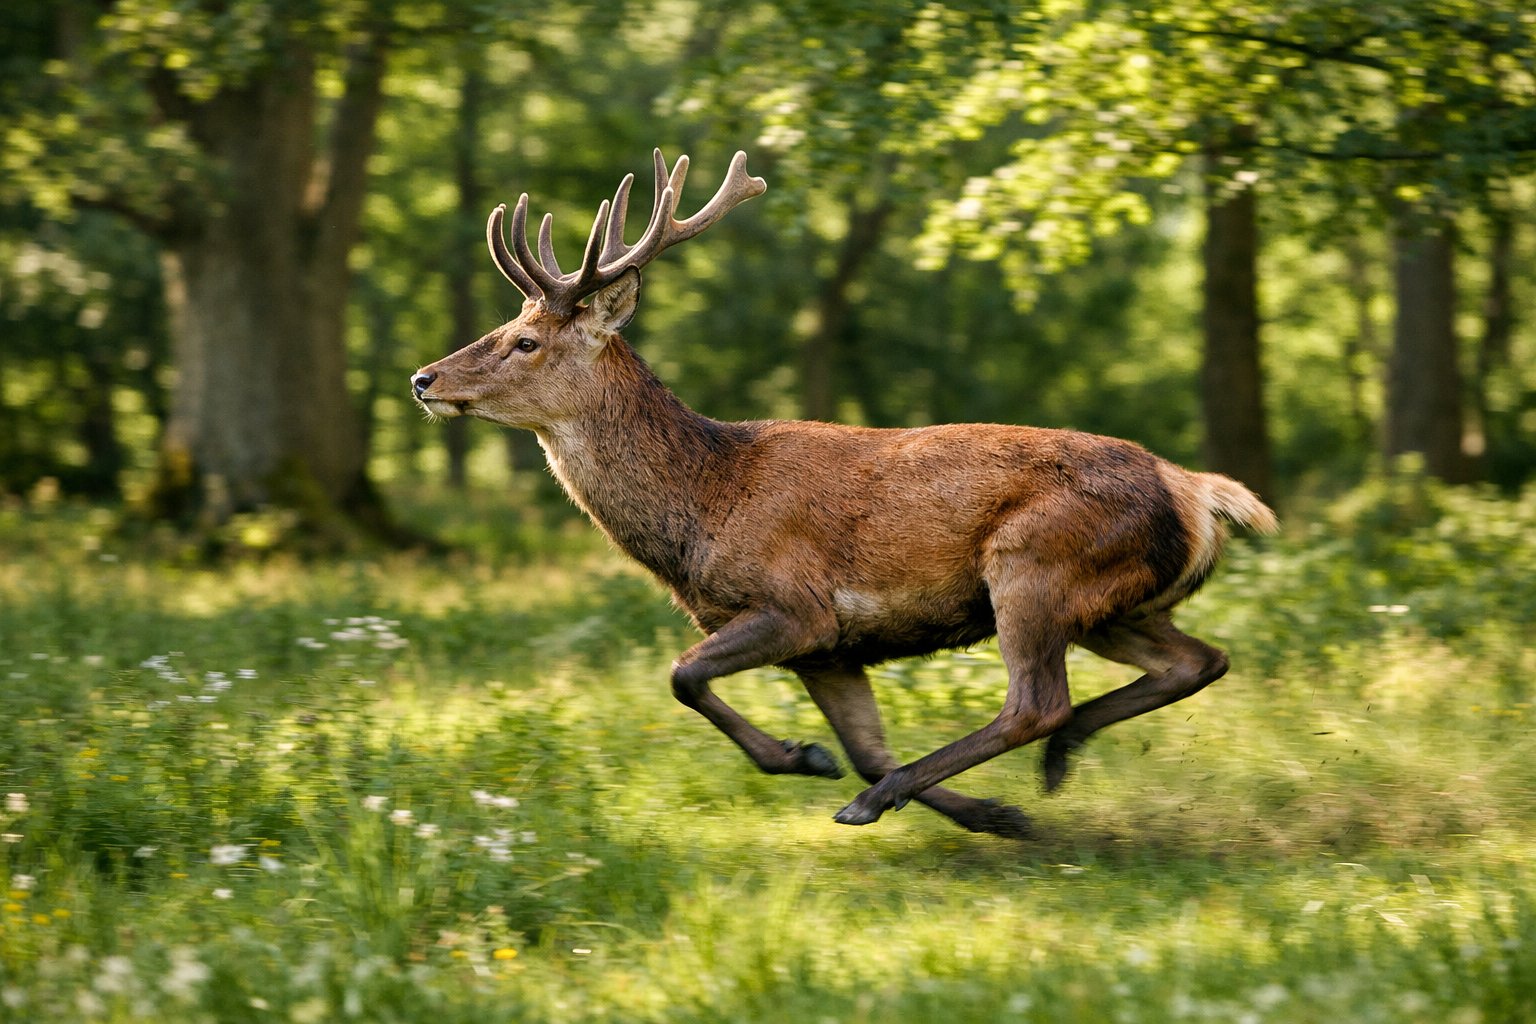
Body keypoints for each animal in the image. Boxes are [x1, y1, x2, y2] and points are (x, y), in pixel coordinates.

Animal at [411, 149, 1279, 839]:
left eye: (525, 341)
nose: (424, 378)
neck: (705, 504)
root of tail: (1195, 490)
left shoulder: (798, 606)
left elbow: (683, 675)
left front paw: (809, 758)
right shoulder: (832, 649)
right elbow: (864, 746)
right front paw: (987, 814)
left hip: (1036, 564)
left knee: (1038, 701)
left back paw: (965, 775)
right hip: (1116, 604)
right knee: (1198, 660)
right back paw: (1050, 766)